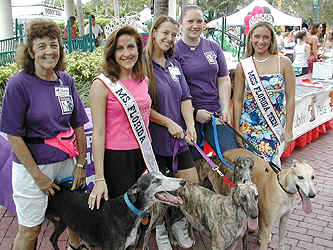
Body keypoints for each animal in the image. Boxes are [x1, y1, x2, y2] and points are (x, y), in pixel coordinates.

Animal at [45, 172, 185, 250]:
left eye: (163, 174)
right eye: (156, 181)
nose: (183, 181)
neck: (129, 210)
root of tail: (57, 188)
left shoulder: (130, 246)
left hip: (61, 222)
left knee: (52, 238)